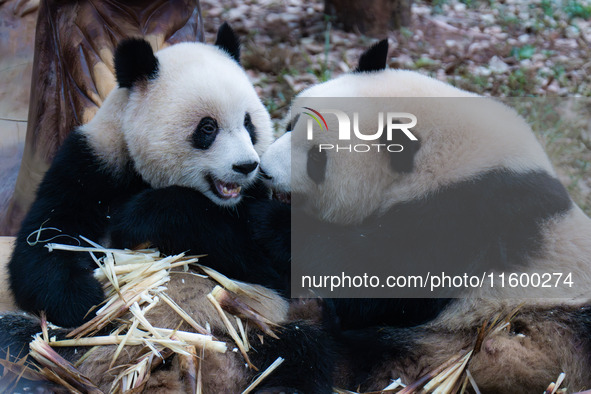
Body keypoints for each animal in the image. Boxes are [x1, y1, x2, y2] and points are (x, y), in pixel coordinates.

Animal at [6, 23, 288, 328]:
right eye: (208, 128)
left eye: (249, 123)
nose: (246, 166)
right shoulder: (91, 163)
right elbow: (46, 238)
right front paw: (80, 299)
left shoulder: (254, 197)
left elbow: (267, 264)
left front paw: (138, 217)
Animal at [258, 40, 591, 390]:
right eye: (291, 124)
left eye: (317, 159)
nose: (265, 171)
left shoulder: (471, 214)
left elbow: (382, 277)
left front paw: (270, 220)